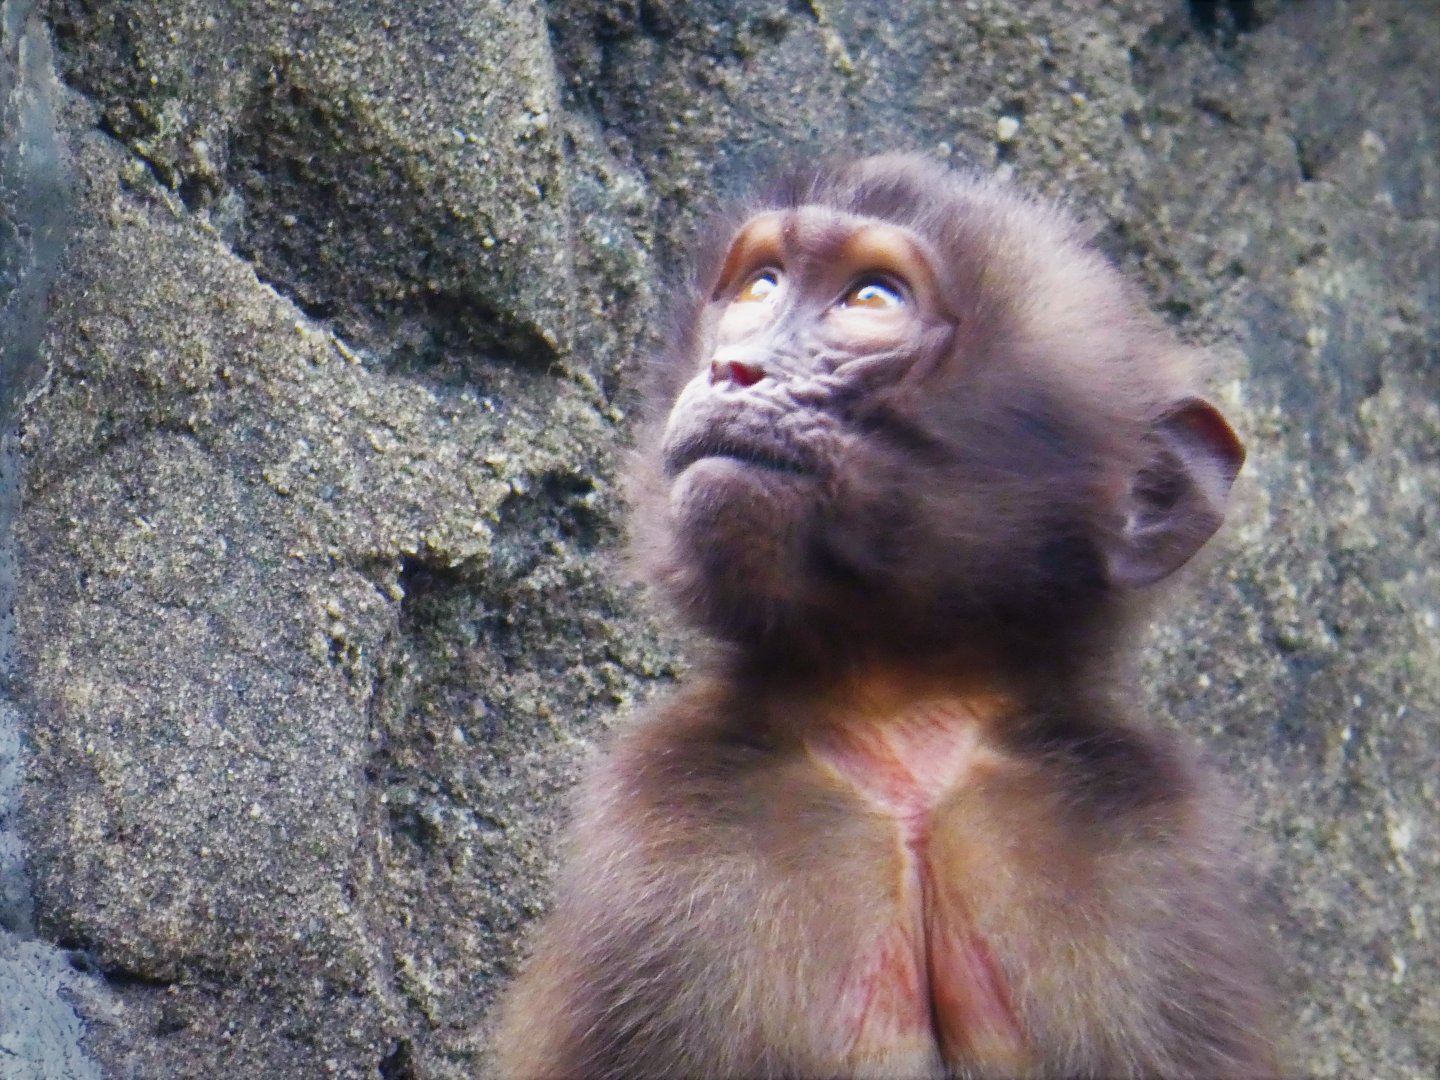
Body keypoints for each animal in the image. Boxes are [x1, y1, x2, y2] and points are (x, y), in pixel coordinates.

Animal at [491, 154, 1277, 1079]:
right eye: (762, 285)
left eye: (871, 298)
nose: (733, 369)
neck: (902, 728)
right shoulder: (669, 846)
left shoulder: (1145, 859)